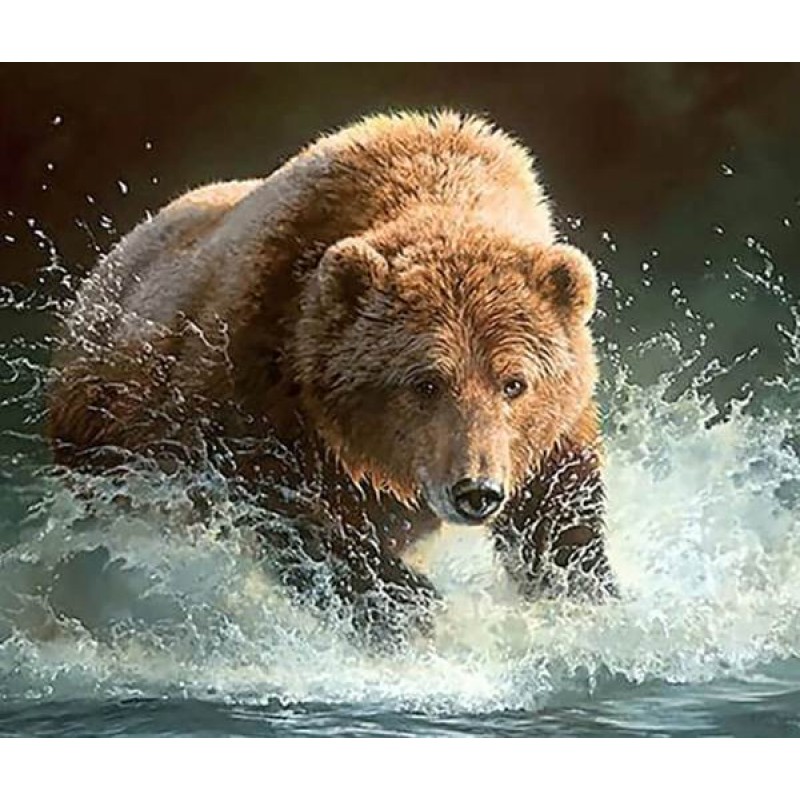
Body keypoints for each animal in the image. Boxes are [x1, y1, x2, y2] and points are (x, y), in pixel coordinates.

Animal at [48, 111, 615, 647]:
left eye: (514, 383)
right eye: (426, 382)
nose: (477, 491)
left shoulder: (550, 430)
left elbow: (558, 512)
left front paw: (583, 591)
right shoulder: (259, 376)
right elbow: (282, 504)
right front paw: (403, 602)